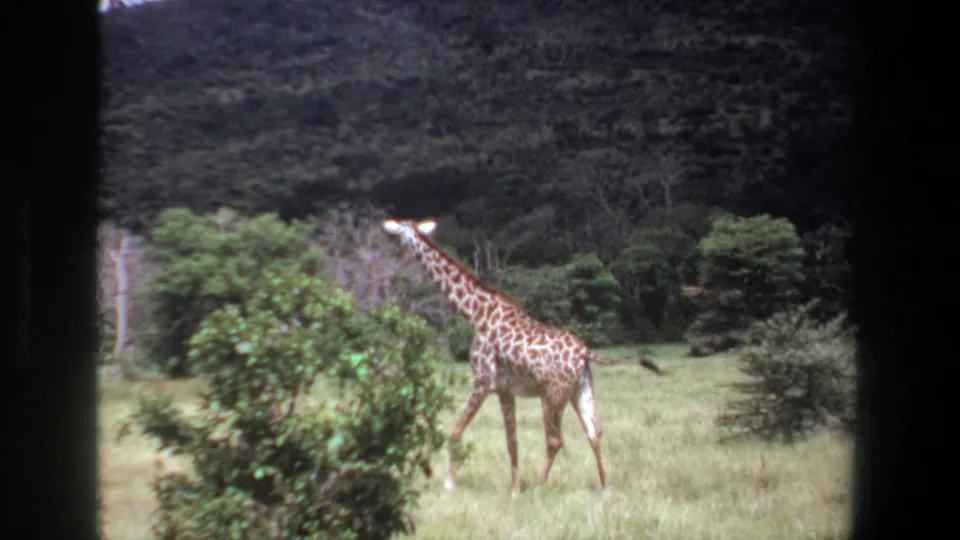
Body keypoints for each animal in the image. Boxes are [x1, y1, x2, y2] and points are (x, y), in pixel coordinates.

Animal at [382, 218, 663, 496]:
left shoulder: (482, 381)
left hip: (552, 395)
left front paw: (450, 484)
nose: (392, 248)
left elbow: (456, 431)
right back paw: (604, 491)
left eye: (398, 233)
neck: (476, 312)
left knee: (555, 439)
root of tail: (584, 352)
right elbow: (511, 440)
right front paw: (515, 489)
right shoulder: (505, 390)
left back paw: (540, 486)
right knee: (594, 432)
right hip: (580, 390)